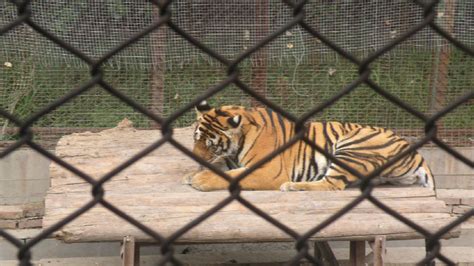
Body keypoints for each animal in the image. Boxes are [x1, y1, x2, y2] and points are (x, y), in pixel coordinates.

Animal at [183, 101, 436, 191]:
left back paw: (293, 186)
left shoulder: (269, 171)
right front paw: (193, 174)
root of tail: (419, 156)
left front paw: (200, 180)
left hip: (352, 147)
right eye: (195, 139)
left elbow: (232, 175)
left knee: (333, 185)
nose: (194, 157)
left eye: (210, 144)